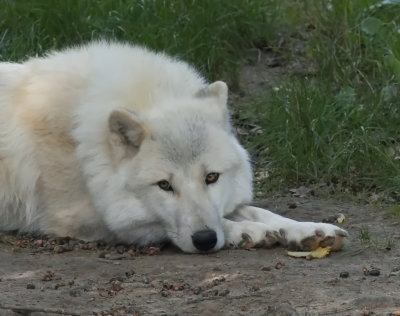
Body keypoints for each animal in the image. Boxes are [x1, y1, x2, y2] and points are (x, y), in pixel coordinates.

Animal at [0, 42, 346, 254]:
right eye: (164, 185)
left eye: (211, 177)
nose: (205, 240)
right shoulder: (86, 218)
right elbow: (207, 222)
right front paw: (247, 232)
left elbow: (258, 210)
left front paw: (308, 230)